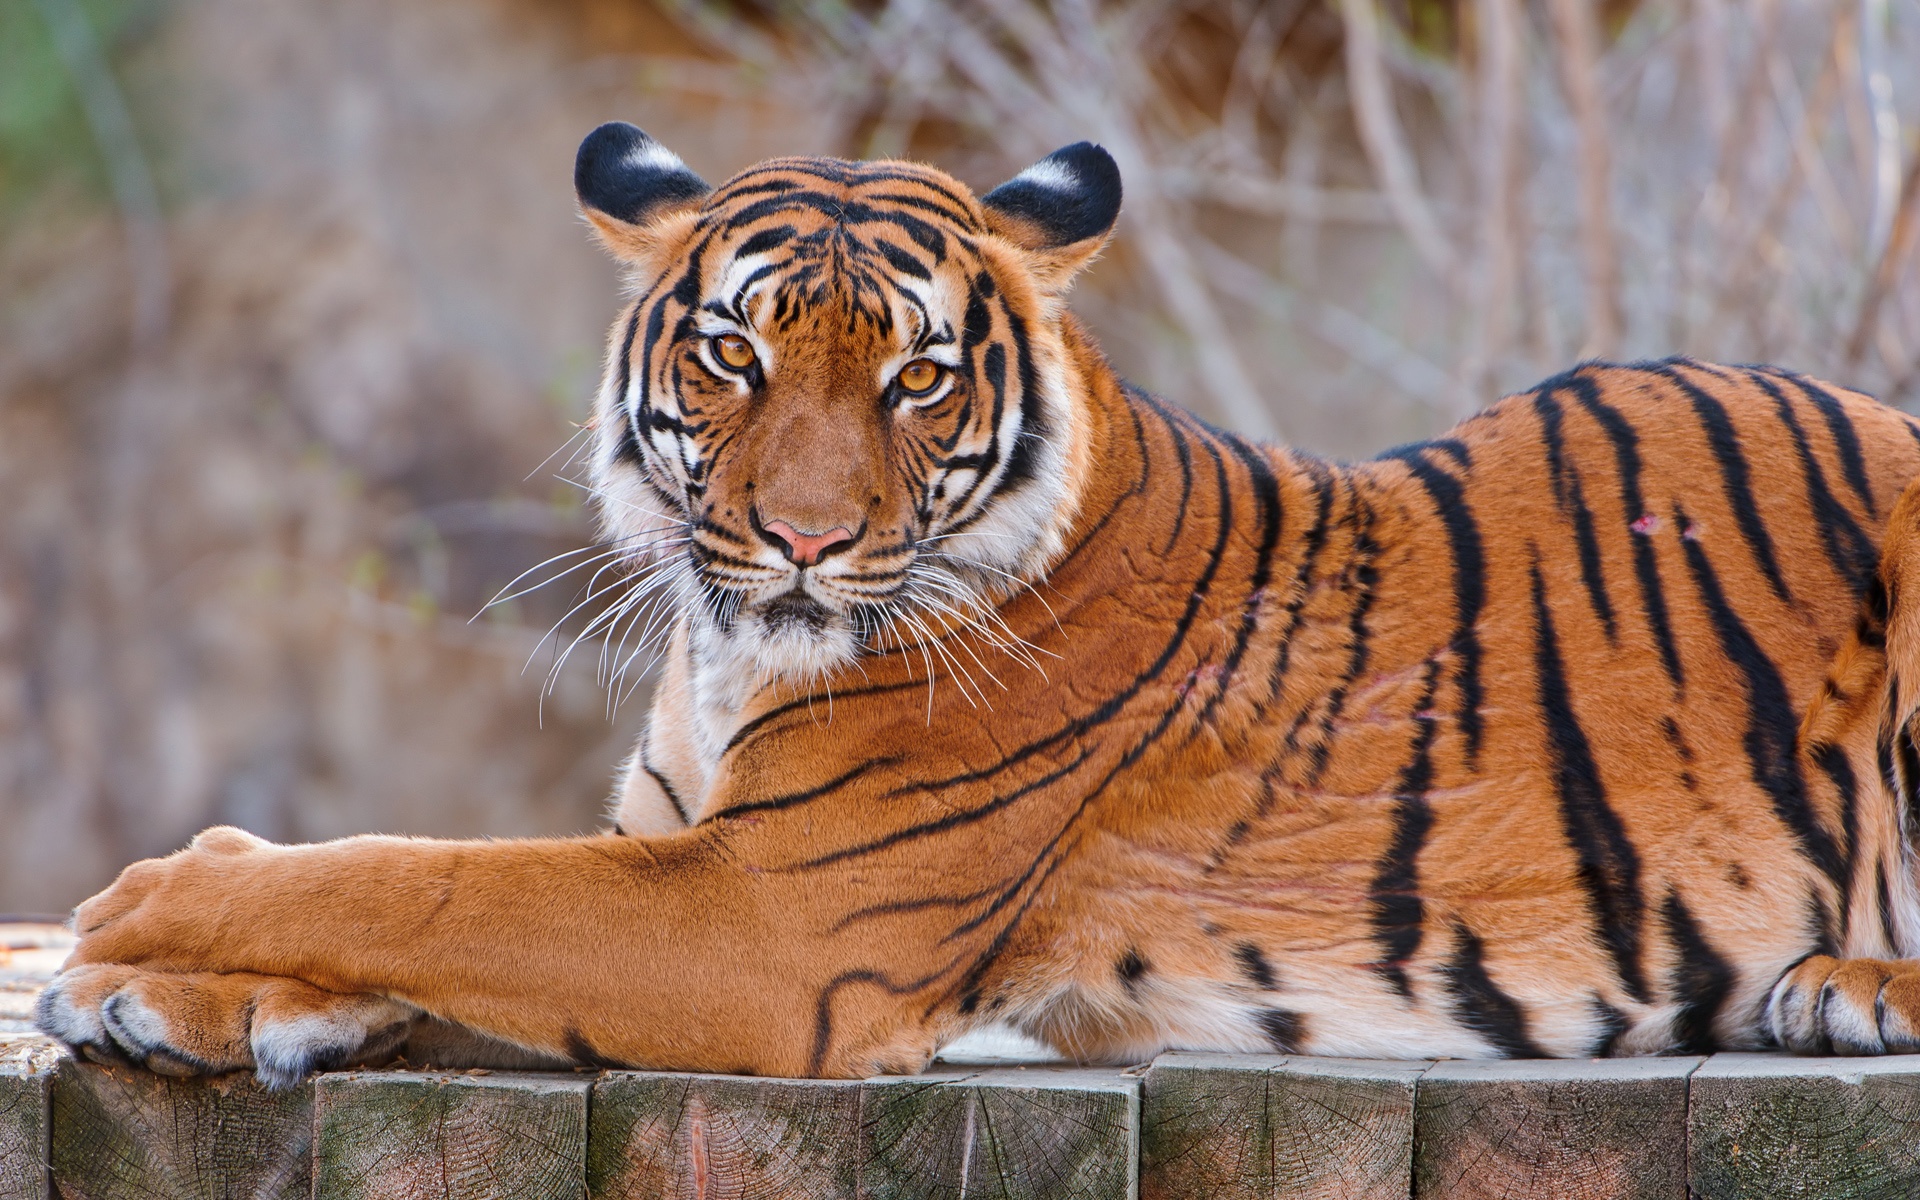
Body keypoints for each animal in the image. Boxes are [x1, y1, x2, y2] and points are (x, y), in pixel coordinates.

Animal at [33, 123, 1920, 1082]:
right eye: (736, 357)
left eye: (920, 378)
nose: (799, 541)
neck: (731, 660)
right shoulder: (678, 849)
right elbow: (440, 915)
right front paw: (185, 994)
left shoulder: (772, 922)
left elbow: (435, 882)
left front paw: (148, 907)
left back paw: (1851, 985)